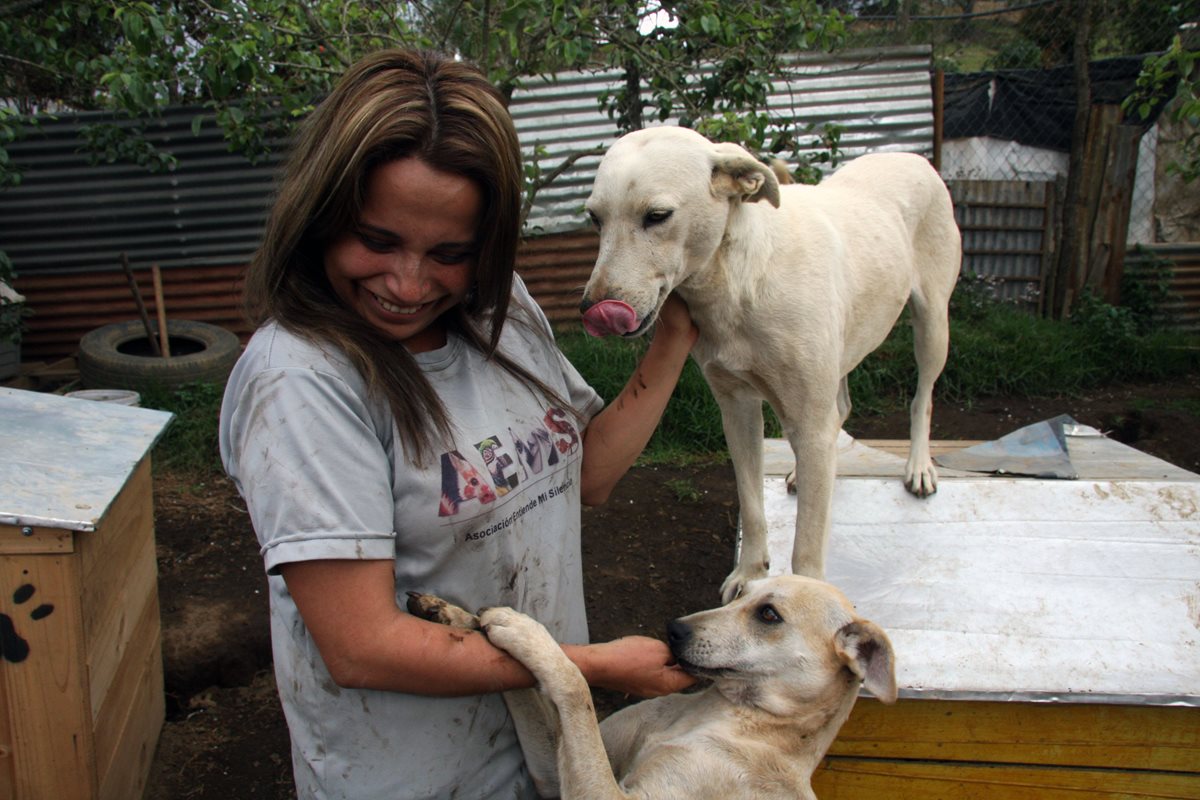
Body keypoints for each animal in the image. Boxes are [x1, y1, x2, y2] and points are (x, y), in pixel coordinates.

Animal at [408, 575, 897, 800]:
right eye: (741, 594)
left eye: (769, 614)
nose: (673, 630)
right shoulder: (551, 773)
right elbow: (527, 690)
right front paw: (456, 616)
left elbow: (576, 687)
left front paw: (528, 632)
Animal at [576, 126, 960, 599]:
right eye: (595, 218)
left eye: (657, 216)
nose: (591, 309)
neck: (738, 282)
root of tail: (911, 157)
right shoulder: (737, 410)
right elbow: (752, 500)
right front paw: (749, 573)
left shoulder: (808, 421)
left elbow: (807, 548)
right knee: (841, 409)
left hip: (932, 324)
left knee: (921, 397)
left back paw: (919, 466)